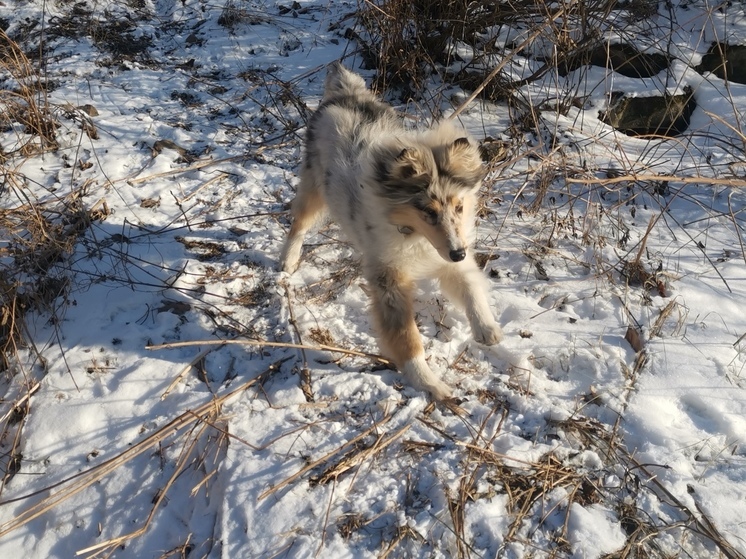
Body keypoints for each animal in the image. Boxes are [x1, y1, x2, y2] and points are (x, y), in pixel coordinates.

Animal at [278, 63, 500, 400]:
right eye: (427, 211)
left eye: (459, 207)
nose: (458, 253)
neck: (415, 235)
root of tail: (346, 91)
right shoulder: (389, 281)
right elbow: (406, 337)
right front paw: (429, 383)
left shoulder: (449, 253)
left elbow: (471, 287)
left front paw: (487, 329)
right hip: (313, 185)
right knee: (298, 224)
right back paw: (288, 261)